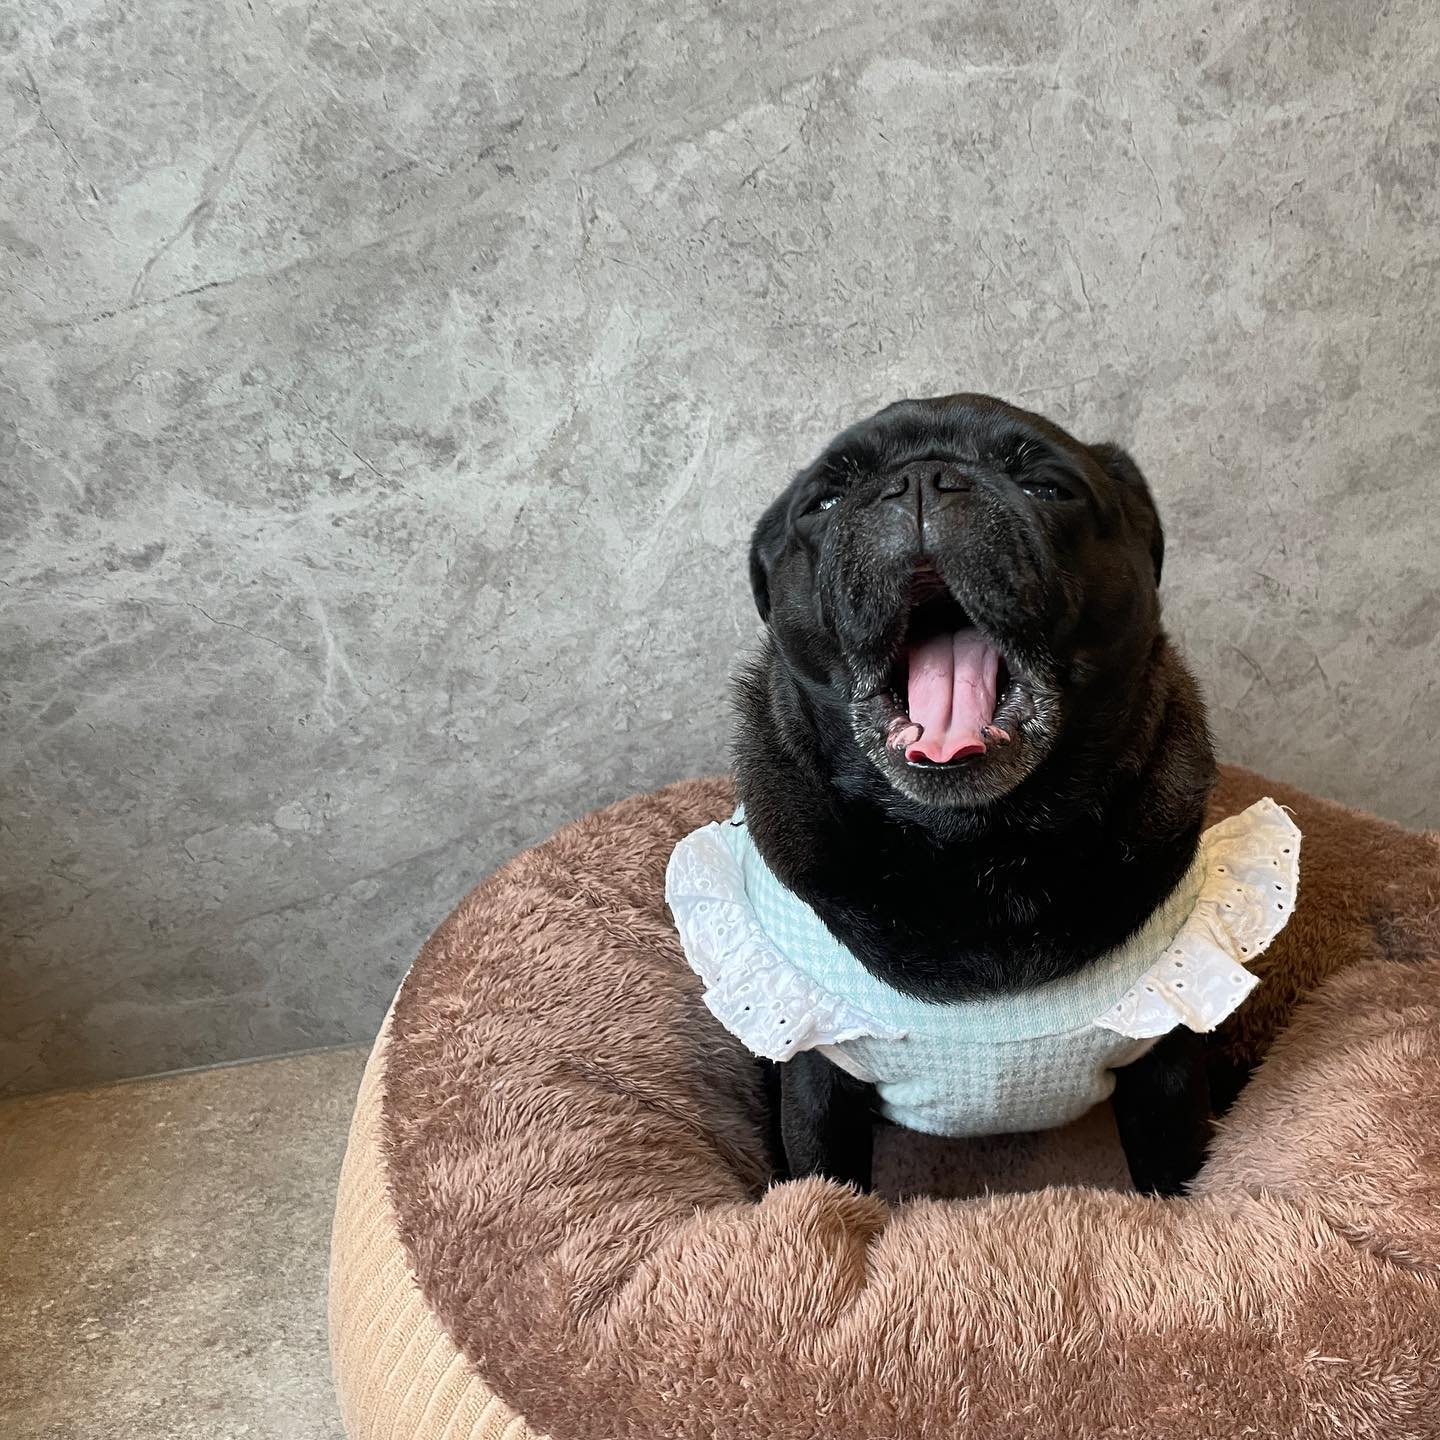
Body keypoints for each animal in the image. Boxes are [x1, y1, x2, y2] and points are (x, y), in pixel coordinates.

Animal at [724, 393, 1226, 1196]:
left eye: (1047, 487)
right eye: (824, 502)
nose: (922, 480)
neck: (974, 845)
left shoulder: (1166, 1069)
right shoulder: (818, 1079)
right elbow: (824, 1185)